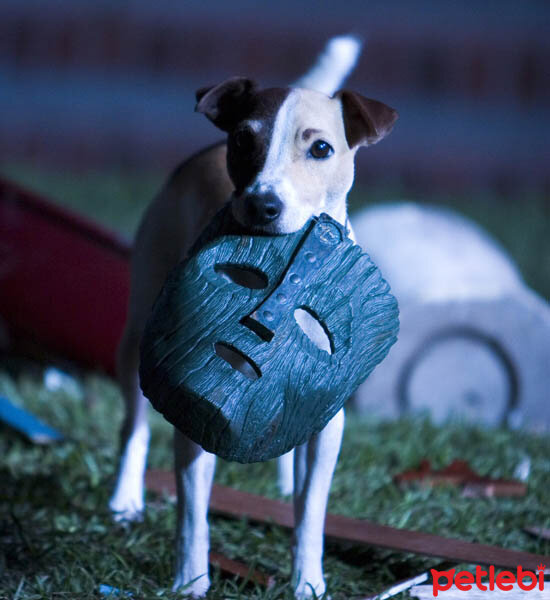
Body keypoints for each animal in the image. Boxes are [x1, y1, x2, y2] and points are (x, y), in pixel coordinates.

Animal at [110, 35, 398, 596]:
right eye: (244, 141)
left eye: (321, 149)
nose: (263, 205)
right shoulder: (195, 397)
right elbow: (192, 510)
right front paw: (191, 580)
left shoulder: (328, 420)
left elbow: (311, 512)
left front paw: (308, 582)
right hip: (137, 324)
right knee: (133, 425)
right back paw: (125, 499)